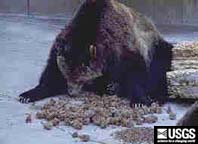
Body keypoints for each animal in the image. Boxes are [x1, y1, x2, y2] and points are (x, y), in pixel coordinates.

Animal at [19, 0, 173, 106]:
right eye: (67, 75)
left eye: (80, 78)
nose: (71, 92)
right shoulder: (60, 48)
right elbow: (51, 72)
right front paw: (28, 94)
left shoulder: (123, 46)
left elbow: (136, 70)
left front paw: (140, 101)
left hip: (157, 46)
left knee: (160, 67)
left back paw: (154, 96)